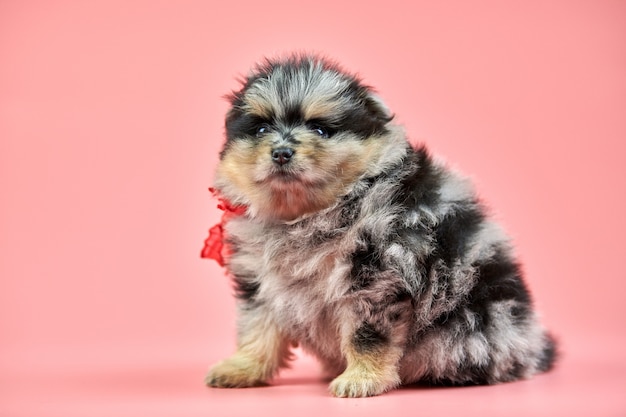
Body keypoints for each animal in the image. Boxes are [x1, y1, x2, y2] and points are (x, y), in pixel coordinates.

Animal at [201, 53, 556, 394]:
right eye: (261, 129)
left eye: (321, 129)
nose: (282, 152)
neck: (306, 215)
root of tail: (531, 344)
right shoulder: (262, 282)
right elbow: (257, 329)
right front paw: (241, 368)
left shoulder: (375, 278)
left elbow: (367, 335)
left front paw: (361, 379)